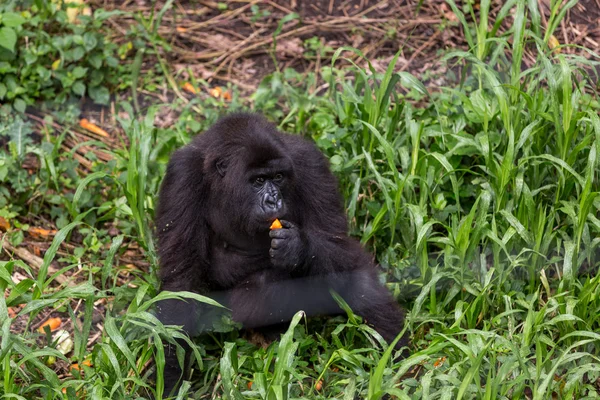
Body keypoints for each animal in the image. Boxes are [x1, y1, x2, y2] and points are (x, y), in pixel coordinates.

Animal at [155, 112, 408, 394]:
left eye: (277, 177)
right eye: (257, 181)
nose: (273, 201)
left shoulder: (310, 163)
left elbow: (337, 242)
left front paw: (299, 247)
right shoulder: (182, 177)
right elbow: (181, 282)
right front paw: (169, 379)